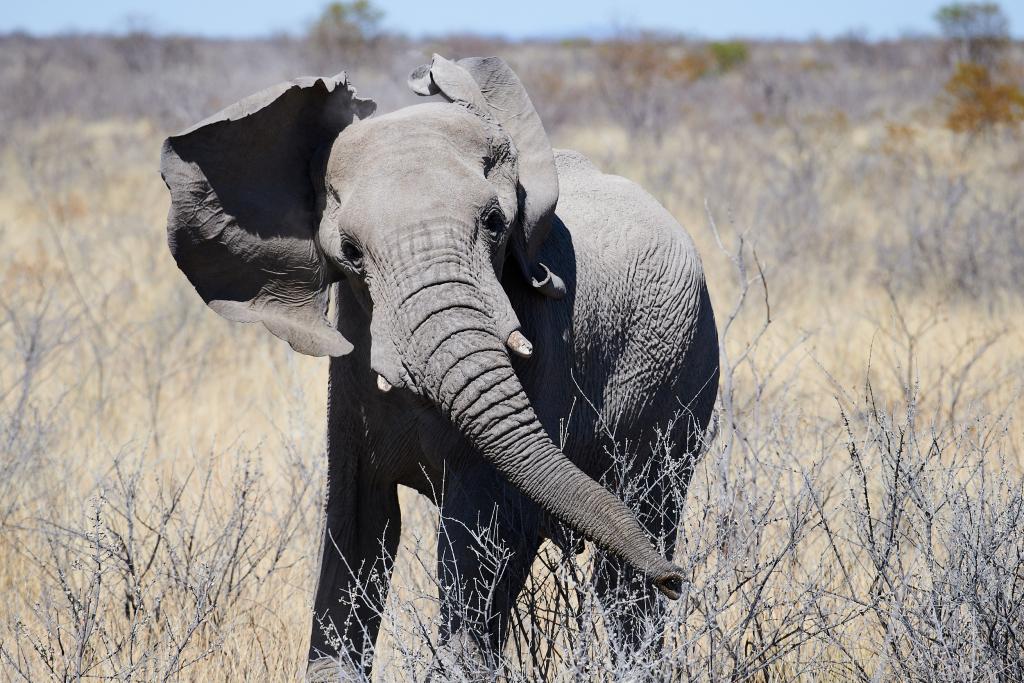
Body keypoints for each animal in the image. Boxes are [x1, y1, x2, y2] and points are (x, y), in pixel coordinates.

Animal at [161, 54, 720, 679]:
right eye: (349, 252)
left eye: (495, 222)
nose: (678, 581)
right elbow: (360, 526)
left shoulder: (544, 352)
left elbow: (481, 532)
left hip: (687, 372)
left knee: (636, 545)